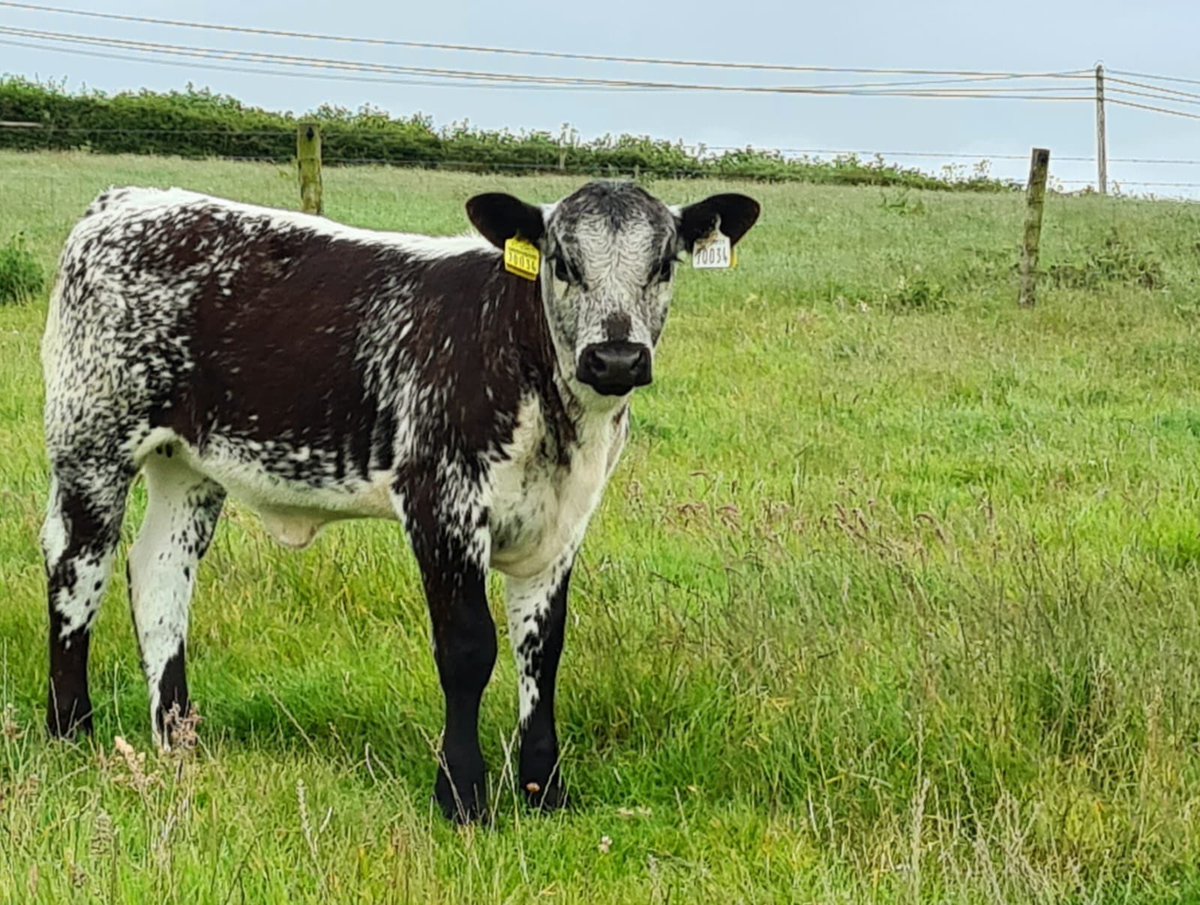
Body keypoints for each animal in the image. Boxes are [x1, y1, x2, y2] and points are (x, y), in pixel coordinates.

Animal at [41, 179, 760, 821]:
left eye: (663, 263)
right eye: (562, 262)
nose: (615, 358)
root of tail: (125, 202)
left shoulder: (561, 526)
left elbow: (542, 649)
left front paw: (543, 791)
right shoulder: (441, 502)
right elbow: (468, 648)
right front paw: (463, 795)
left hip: (186, 466)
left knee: (160, 576)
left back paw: (176, 739)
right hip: (90, 443)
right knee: (77, 569)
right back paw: (71, 729)